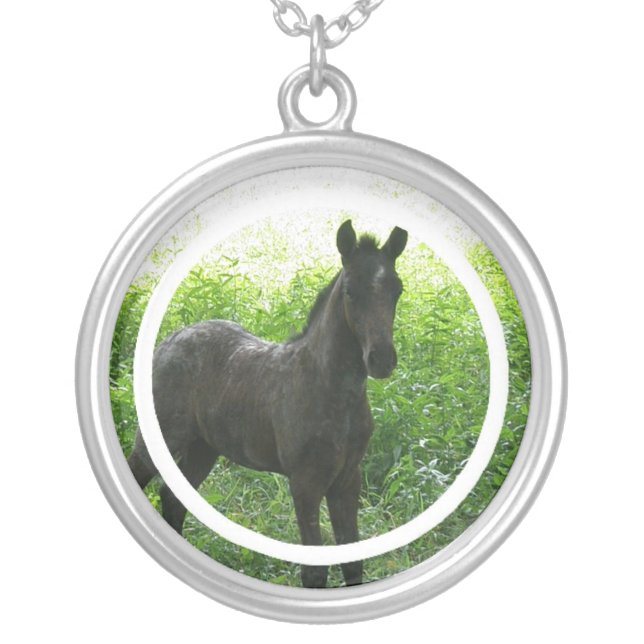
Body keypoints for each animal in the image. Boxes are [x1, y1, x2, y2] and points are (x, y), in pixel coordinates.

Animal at [128, 220, 408, 587]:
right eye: (350, 291)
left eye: (397, 290)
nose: (382, 360)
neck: (332, 390)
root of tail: (169, 341)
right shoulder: (305, 483)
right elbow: (314, 573)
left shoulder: (348, 479)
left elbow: (353, 564)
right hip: (160, 438)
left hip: (205, 448)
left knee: (174, 500)